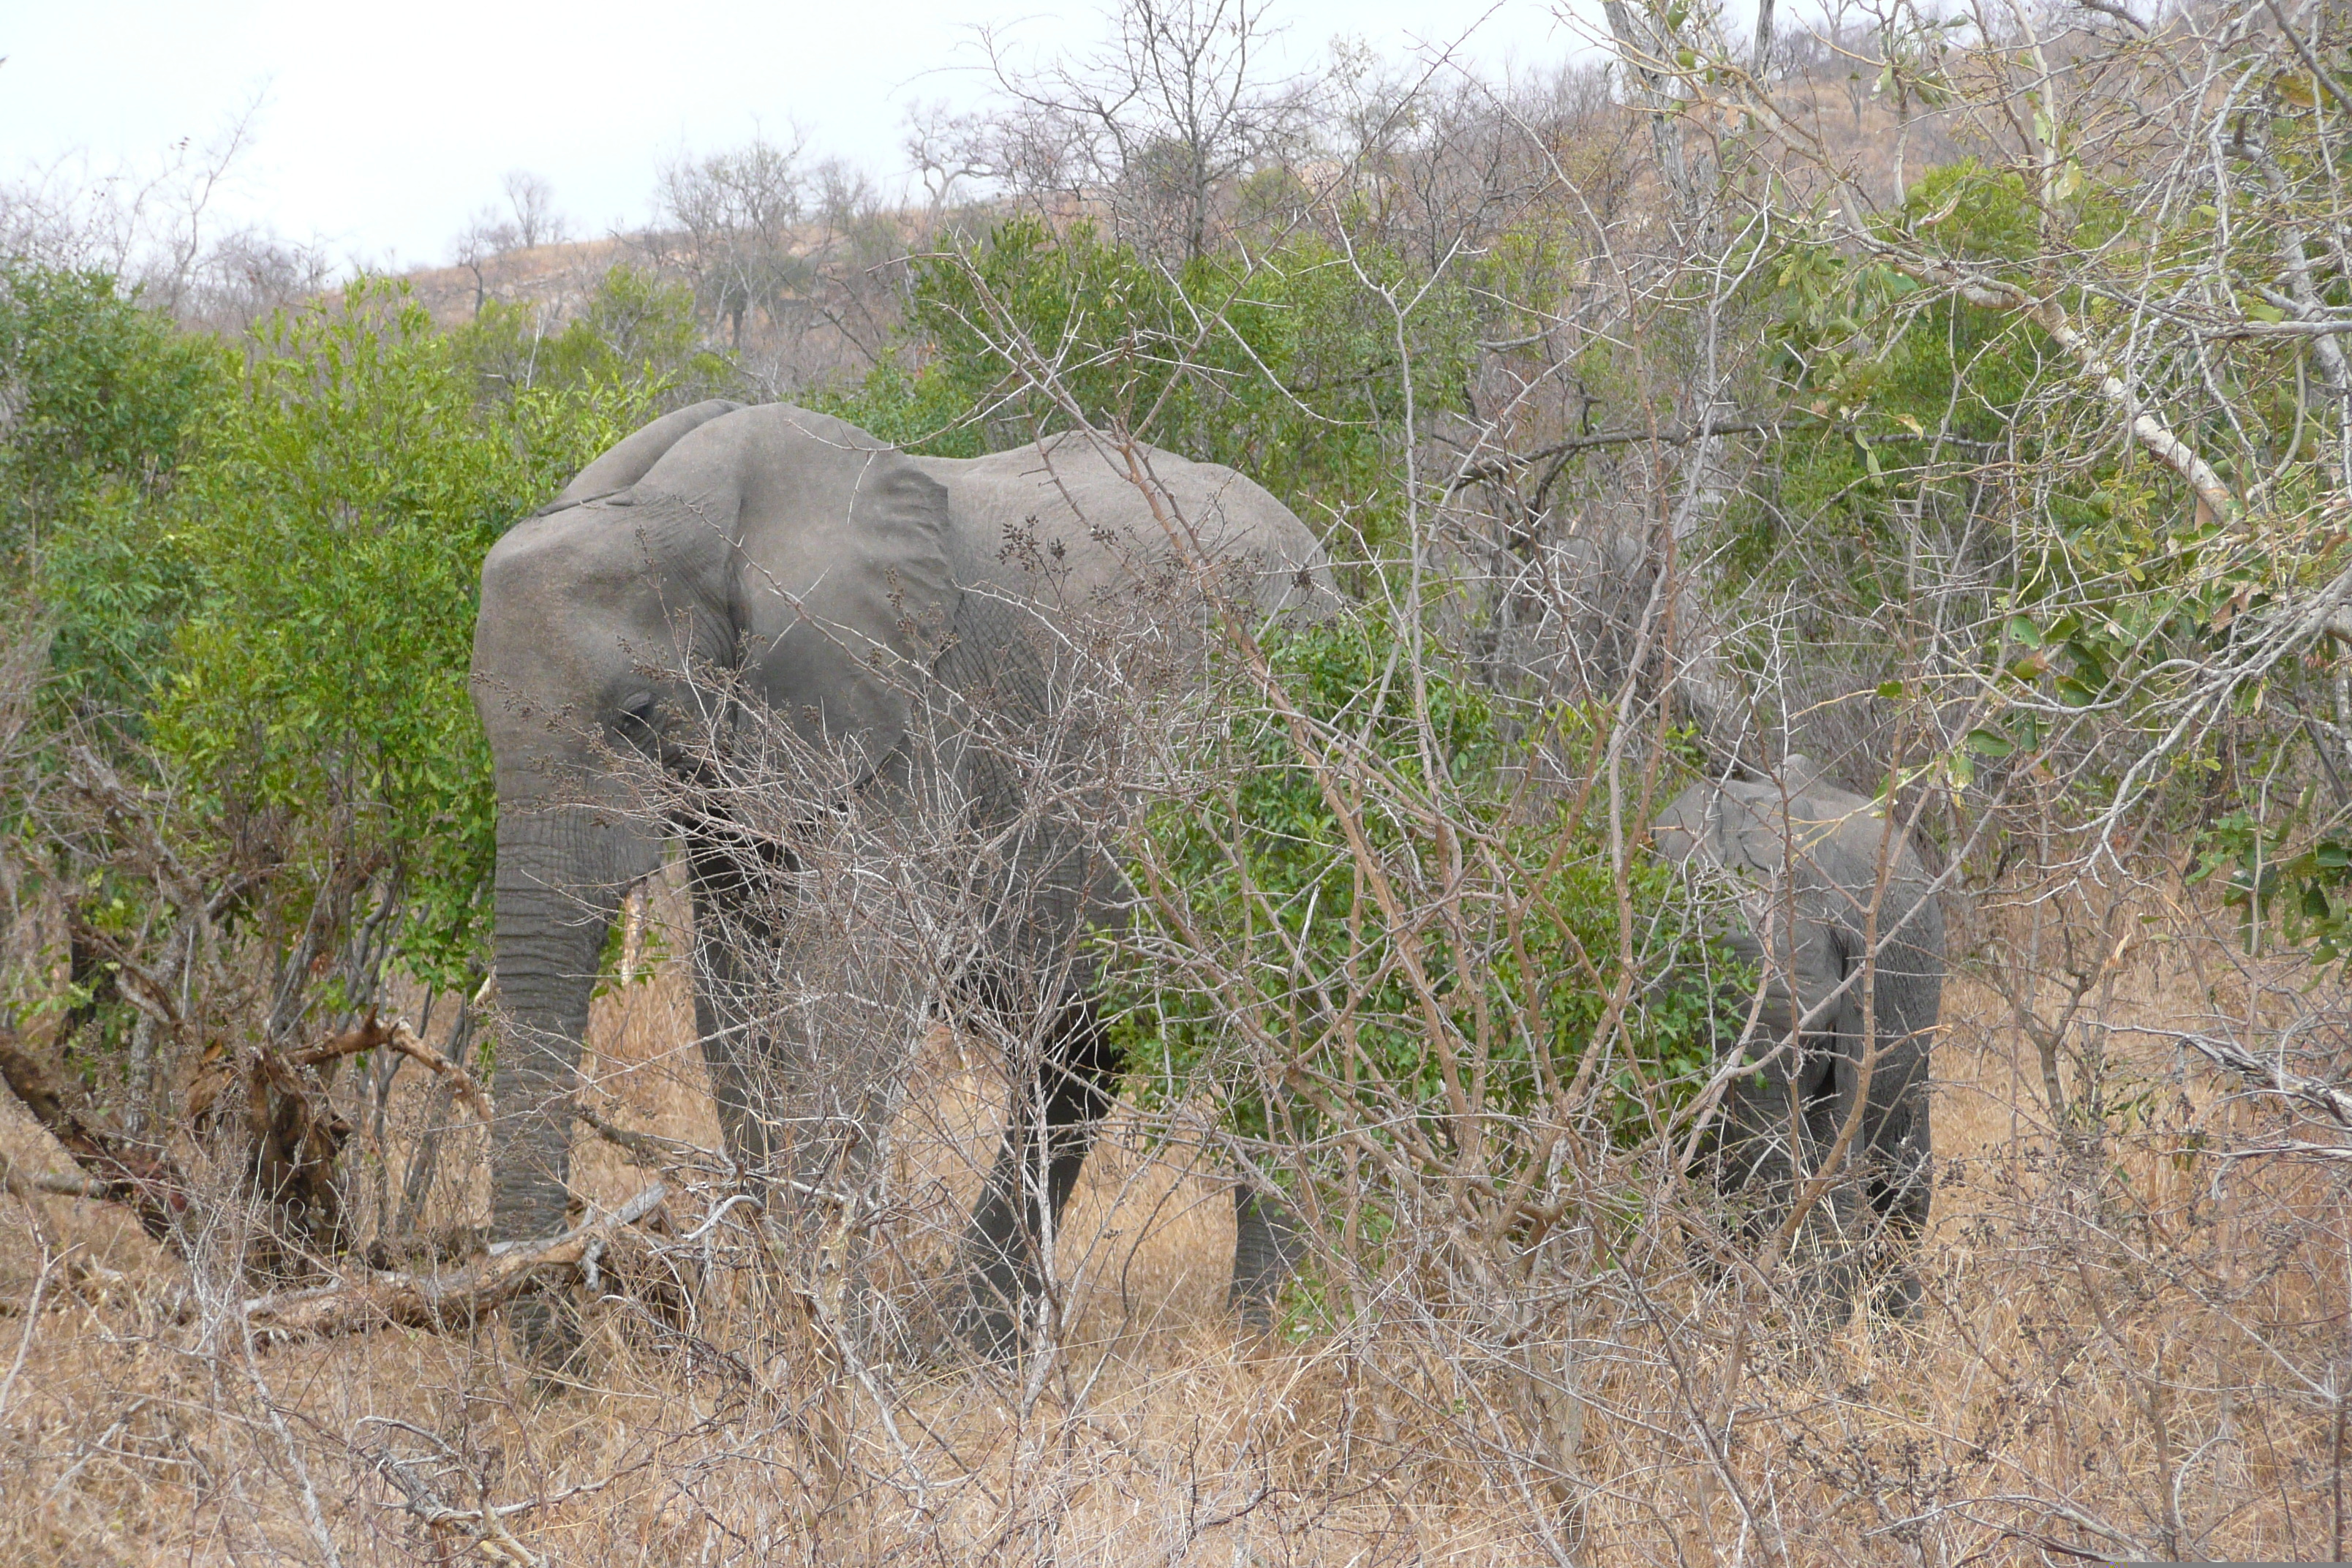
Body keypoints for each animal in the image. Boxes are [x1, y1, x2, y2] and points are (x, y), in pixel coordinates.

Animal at [472, 404, 1345, 1363]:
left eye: (636, 712)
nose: (563, 1352)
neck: (690, 508)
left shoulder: (914, 716)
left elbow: (855, 987)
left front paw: (821, 1338)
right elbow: (736, 990)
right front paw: (786, 1318)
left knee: (1265, 1034)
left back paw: (1264, 1335)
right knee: (1073, 1062)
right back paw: (976, 1353)